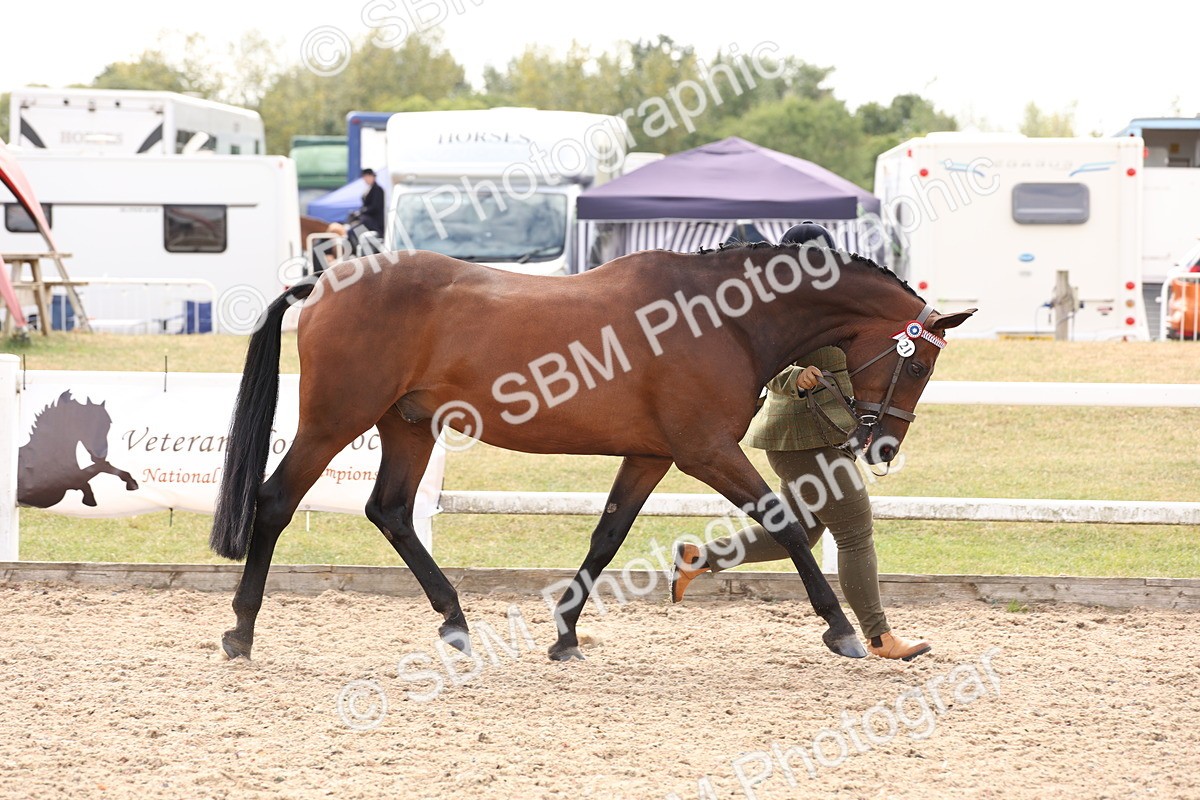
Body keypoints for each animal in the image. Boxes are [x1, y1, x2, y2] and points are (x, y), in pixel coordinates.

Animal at [210, 243, 974, 663]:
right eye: (917, 363)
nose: (880, 445)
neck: (723, 318)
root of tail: (324, 282)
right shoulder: (705, 450)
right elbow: (783, 524)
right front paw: (840, 630)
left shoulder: (652, 456)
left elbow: (607, 536)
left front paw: (566, 633)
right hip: (334, 419)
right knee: (274, 502)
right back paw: (241, 631)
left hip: (407, 425)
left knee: (391, 512)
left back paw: (455, 621)